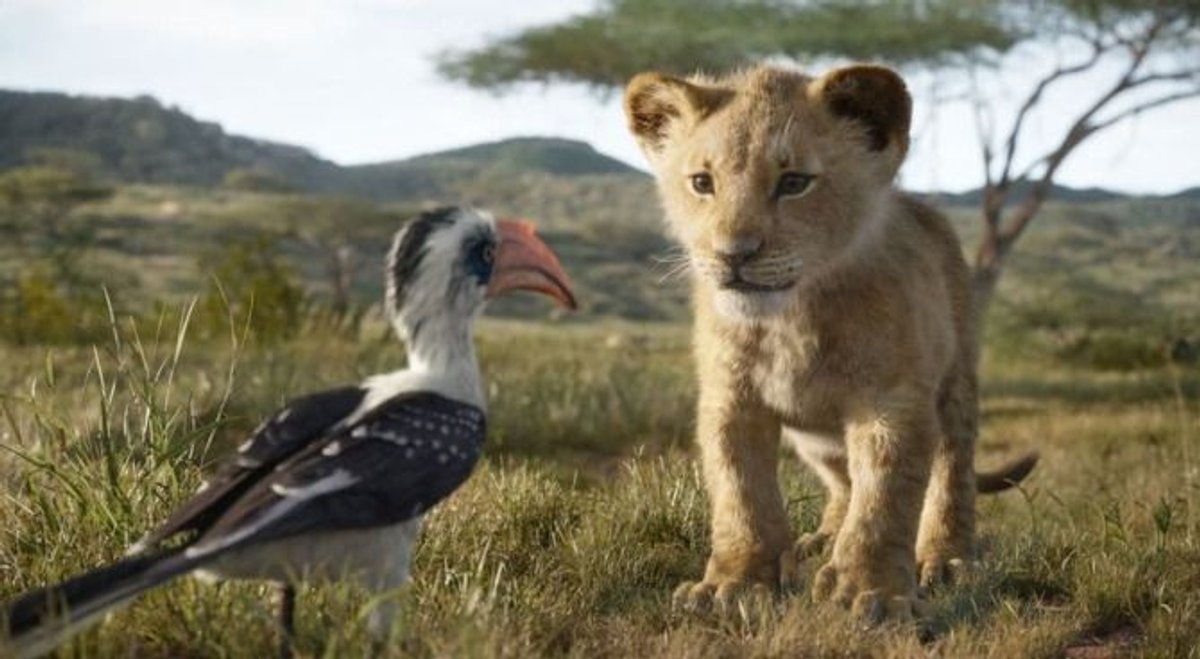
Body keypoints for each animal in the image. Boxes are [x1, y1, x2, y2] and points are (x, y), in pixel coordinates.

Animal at [623, 63, 1036, 622]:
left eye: (794, 182)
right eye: (702, 183)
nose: (733, 255)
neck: (790, 320)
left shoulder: (892, 402)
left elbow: (885, 498)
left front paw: (872, 592)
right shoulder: (731, 400)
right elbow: (740, 493)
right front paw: (733, 585)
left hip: (956, 383)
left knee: (952, 471)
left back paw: (945, 559)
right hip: (814, 438)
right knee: (842, 481)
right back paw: (820, 540)